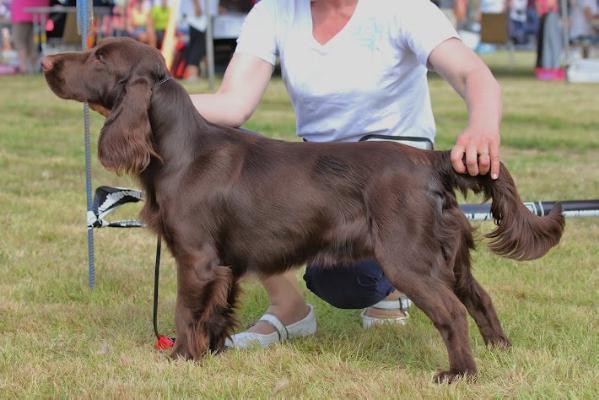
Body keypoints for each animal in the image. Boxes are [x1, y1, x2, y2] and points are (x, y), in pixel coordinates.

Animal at [44, 37, 564, 382]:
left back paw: (459, 374)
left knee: (453, 313)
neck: (178, 149)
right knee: (480, 299)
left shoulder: (196, 258)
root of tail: (431, 161)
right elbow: (215, 315)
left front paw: (179, 361)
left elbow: (184, 314)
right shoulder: (225, 263)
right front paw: (212, 355)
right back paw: (500, 353)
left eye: (99, 57)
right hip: (451, 255)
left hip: (407, 258)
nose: (47, 59)